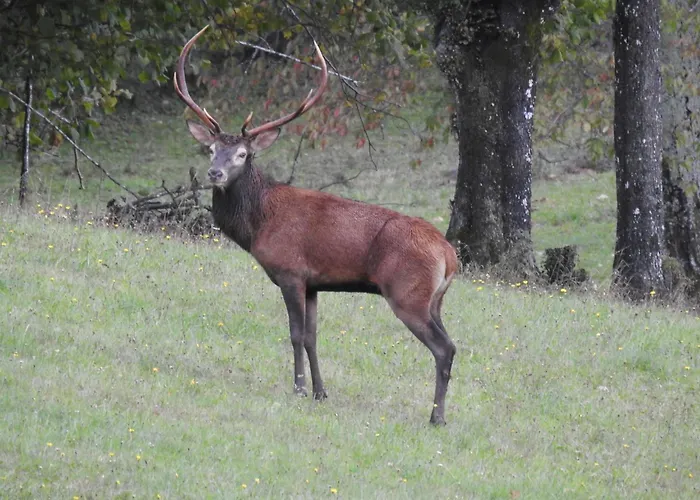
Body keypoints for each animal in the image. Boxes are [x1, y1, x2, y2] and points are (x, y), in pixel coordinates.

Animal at [174, 26, 458, 425]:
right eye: (211, 149)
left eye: (243, 154)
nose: (215, 173)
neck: (258, 224)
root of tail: (450, 255)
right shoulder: (314, 283)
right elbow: (312, 336)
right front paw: (321, 392)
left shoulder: (290, 271)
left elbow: (294, 334)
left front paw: (297, 389)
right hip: (436, 301)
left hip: (408, 294)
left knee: (445, 348)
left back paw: (436, 418)